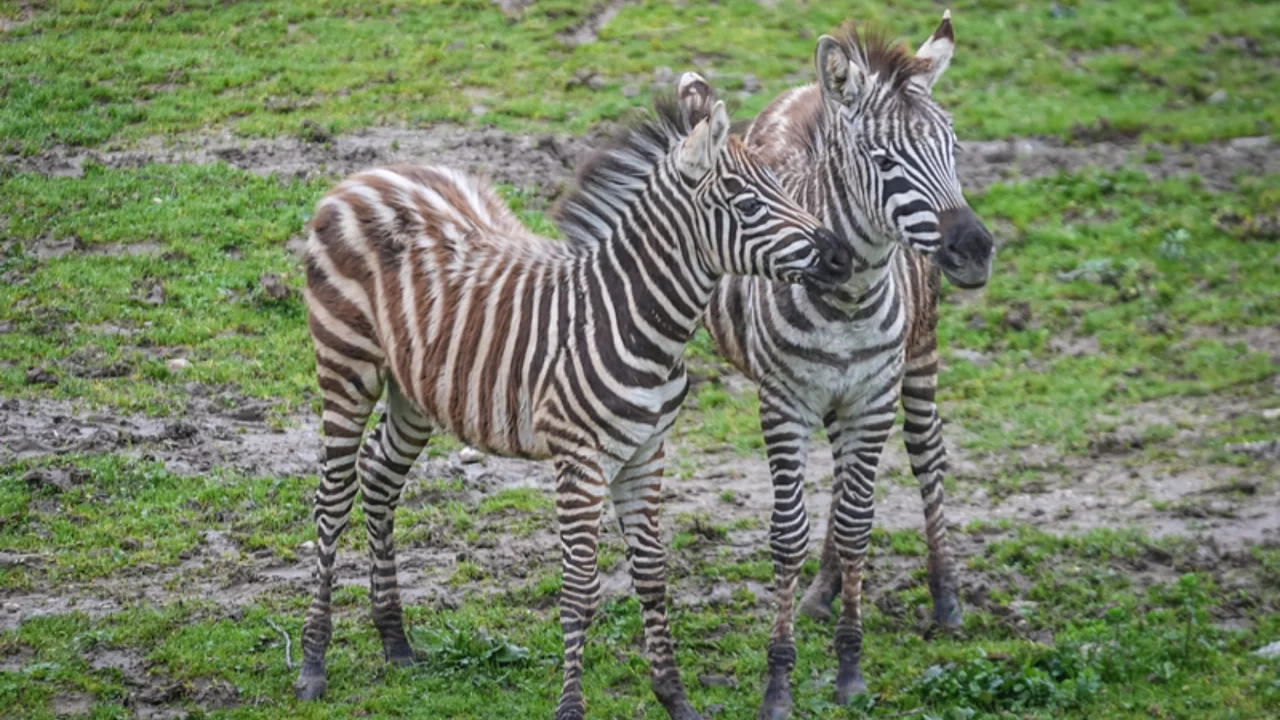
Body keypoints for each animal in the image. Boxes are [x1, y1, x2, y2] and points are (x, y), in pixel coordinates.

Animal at [294, 73, 851, 720]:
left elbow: (652, 574)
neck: (637, 319)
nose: (841, 256)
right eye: (751, 206)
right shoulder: (580, 462)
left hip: (417, 385)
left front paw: (674, 697)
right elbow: (579, 590)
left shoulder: (646, 454)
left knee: (380, 478)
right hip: (346, 366)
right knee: (332, 500)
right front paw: (570, 707)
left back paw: (396, 641)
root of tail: (366, 175)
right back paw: (313, 663)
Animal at [702, 14, 994, 718]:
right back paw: (821, 591)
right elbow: (789, 533)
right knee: (842, 486)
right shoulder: (785, 404)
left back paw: (945, 598)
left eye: (955, 150)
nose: (975, 251)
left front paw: (850, 669)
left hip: (919, 356)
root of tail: (816, 89)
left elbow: (861, 523)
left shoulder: (873, 396)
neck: (849, 297)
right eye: (885, 163)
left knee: (927, 456)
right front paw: (779, 682)